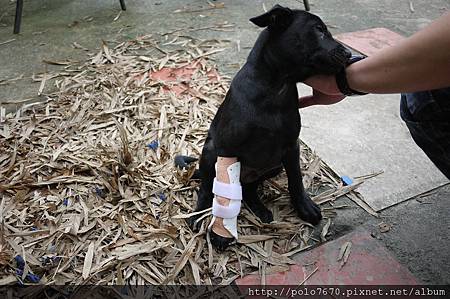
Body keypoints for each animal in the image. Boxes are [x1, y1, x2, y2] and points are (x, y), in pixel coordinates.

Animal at [176, 4, 352, 251]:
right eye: (318, 30)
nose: (349, 54)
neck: (275, 88)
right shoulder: (227, 149)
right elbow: (219, 191)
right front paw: (221, 233)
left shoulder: (290, 147)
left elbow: (296, 180)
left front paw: (304, 207)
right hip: (210, 152)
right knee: (206, 187)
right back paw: (197, 214)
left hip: (273, 166)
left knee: (248, 189)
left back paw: (259, 209)